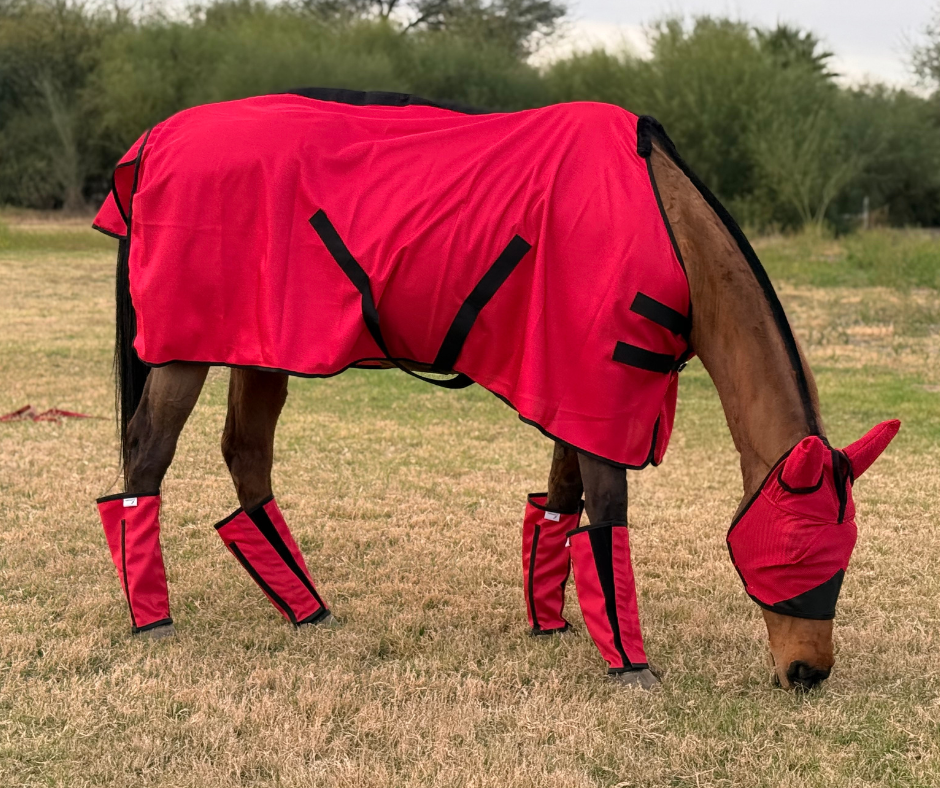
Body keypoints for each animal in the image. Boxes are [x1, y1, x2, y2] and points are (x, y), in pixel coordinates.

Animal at [92, 89, 898, 691]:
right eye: (798, 547)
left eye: (845, 549)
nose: (808, 673)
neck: (667, 228)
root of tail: (154, 142)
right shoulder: (597, 391)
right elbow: (607, 515)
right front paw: (630, 664)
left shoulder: (577, 396)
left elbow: (560, 506)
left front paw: (553, 625)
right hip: (185, 353)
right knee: (147, 458)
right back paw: (152, 619)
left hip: (260, 346)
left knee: (247, 459)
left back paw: (306, 609)